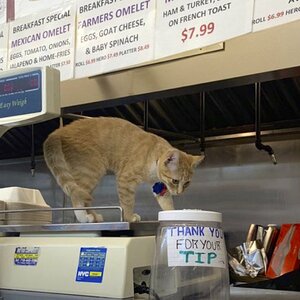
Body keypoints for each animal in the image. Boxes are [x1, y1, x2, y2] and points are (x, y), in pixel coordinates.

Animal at [44, 117, 204, 223]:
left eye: (187, 183)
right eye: (175, 181)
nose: (179, 193)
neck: (152, 157)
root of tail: (59, 131)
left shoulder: (160, 187)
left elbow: (167, 203)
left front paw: (172, 215)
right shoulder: (125, 180)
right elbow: (127, 202)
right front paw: (129, 217)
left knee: (83, 195)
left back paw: (93, 216)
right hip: (91, 170)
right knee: (76, 196)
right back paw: (84, 217)